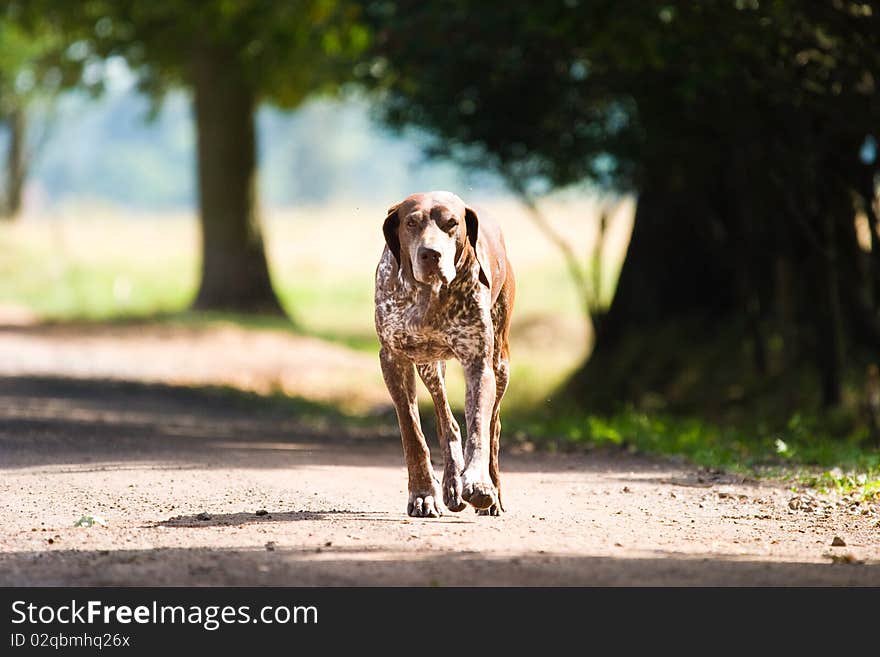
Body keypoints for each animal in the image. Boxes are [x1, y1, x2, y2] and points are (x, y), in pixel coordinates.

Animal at [372, 190, 516, 516]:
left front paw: (479, 483)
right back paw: (451, 483)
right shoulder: (394, 360)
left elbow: (479, 428)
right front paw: (424, 493)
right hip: (430, 367)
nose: (430, 254)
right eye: (411, 223)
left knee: (493, 426)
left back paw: (493, 492)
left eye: (451, 223)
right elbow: (412, 432)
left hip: (500, 365)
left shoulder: (478, 363)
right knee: (447, 422)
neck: (430, 295)